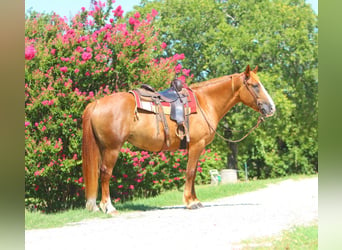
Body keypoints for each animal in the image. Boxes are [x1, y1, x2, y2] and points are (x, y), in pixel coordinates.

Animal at [81, 65, 276, 214]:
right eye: (255, 85)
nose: (271, 108)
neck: (205, 102)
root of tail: (96, 103)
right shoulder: (197, 145)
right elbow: (189, 173)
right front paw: (190, 203)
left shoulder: (195, 147)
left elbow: (194, 173)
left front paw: (195, 200)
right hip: (112, 148)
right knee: (105, 173)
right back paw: (109, 207)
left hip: (102, 148)